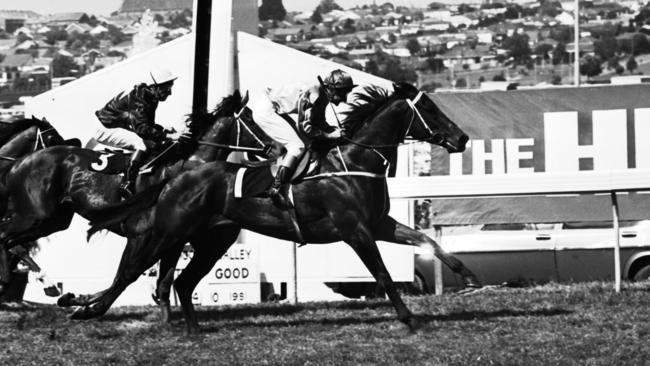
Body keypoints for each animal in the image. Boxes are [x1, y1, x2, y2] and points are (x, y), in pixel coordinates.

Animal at [0, 92, 280, 304]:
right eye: (250, 120)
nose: (277, 147)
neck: (186, 167)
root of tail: (19, 163)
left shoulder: (173, 238)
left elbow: (152, 279)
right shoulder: (141, 234)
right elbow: (126, 274)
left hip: (52, 220)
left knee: (12, 240)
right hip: (36, 216)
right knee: (6, 237)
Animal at [81, 83, 476, 332]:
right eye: (428, 108)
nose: (462, 138)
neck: (353, 161)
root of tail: (175, 176)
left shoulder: (380, 223)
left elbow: (427, 241)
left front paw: (469, 276)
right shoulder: (355, 230)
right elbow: (382, 273)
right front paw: (409, 318)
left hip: (213, 240)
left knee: (180, 280)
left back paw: (193, 330)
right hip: (170, 231)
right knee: (133, 271)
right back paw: (87, 309)